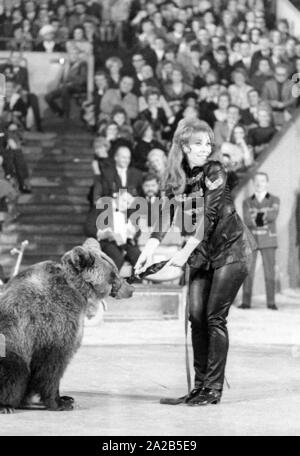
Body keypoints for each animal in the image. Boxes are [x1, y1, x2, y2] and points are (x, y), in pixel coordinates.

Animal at [0, 239, 134, 414]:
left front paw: (66, 398)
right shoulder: (51, 323)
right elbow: (52, 365)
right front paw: (60, 402)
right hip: (9, 344)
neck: (79, 291)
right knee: (15, 370)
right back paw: (6, 406)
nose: (131, 289)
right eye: (114, 274)